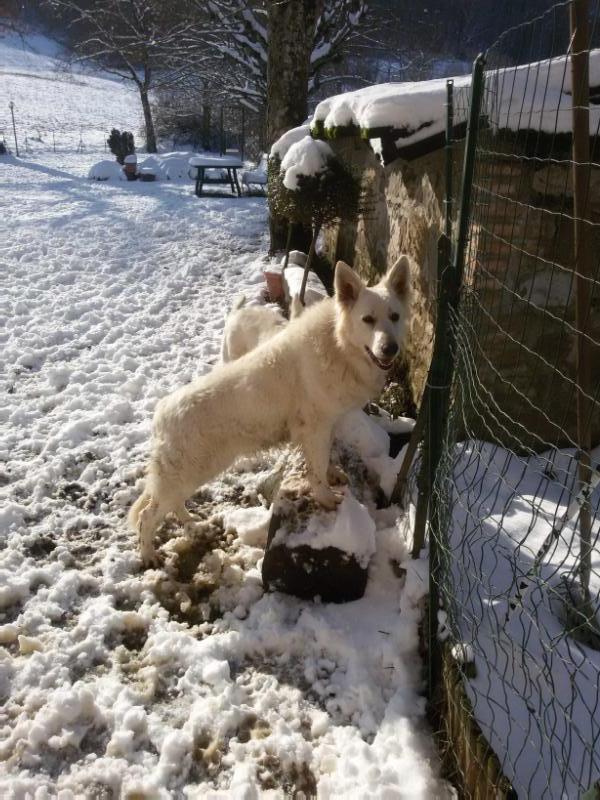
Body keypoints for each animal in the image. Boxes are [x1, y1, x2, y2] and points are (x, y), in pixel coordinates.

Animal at [130, 255, 412, 564]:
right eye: (368, 320)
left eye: (394, 317)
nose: (390, 349)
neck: (339, 345)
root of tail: (160, 415)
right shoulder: (315, 428)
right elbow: (316, 470)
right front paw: (326, 499)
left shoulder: (324, 425)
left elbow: (323, 459)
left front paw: (333, 474)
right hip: (188, 473)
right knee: (148, 516)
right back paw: (148, 555)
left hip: (189, 475)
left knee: (172, 504)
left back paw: (192, 522)